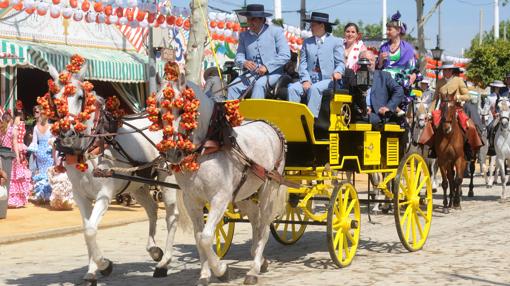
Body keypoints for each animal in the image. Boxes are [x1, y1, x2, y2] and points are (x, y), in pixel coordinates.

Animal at [46, 65, 181, 286]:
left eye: (80, 96)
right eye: (54, 97)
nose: (67, 133)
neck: (89, 147)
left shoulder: (104, 194)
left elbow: (90, 230)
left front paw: (104, 265)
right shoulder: (80, 196)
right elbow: (87, 230)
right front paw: (92, 271)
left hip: (166, 175)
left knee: (172, 216)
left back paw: (164, 263)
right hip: (137, 184)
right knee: (152, 209)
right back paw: (154, 250)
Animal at [157, 74, 286, 286]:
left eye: (182, 109)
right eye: (159, 111)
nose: (172, 152)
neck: (207, 147)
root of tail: (270, 126)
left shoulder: (220, 198)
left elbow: (206, 237)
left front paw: (221, 270)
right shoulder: (192, 200)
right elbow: (198, 236)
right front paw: (205, 275)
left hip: (269, 187)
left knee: (265, 226)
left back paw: (254, 269)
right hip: (244, 193)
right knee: (256, 218)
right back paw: (259, 258)